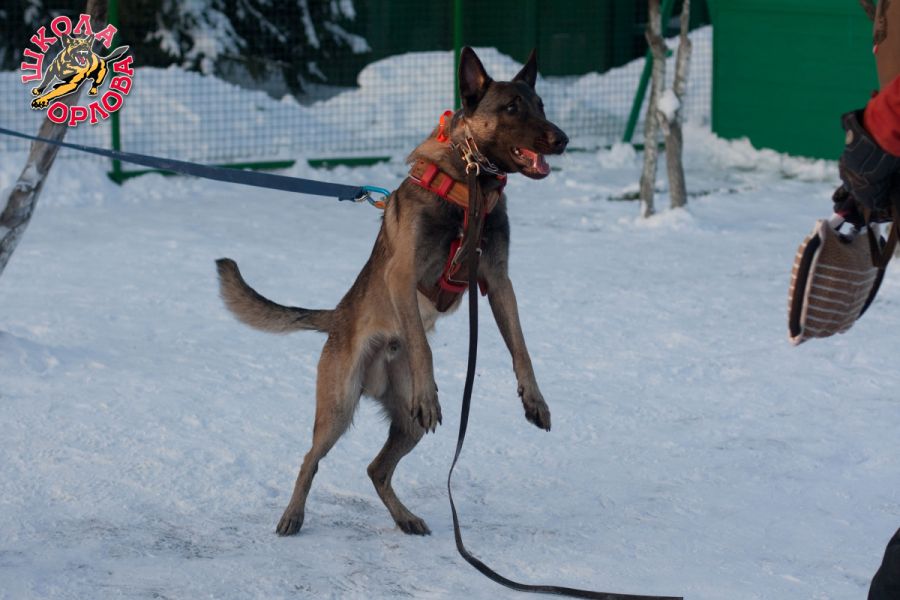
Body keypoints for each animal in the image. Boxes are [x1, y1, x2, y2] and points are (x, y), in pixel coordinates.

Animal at [216, 47, 568, 536]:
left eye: (540, 105)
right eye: (512, 108)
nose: (563, 139)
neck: (471, 186)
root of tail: (337, 315)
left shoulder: (499, 282)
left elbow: (521, 346)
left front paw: (534, 398)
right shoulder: (402, 276)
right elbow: (423, 345)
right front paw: (431, 392)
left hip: (406, 424)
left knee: (376, 469)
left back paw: (404, 517)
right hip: (339, 407)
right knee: (310, 459)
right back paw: (293, 515)